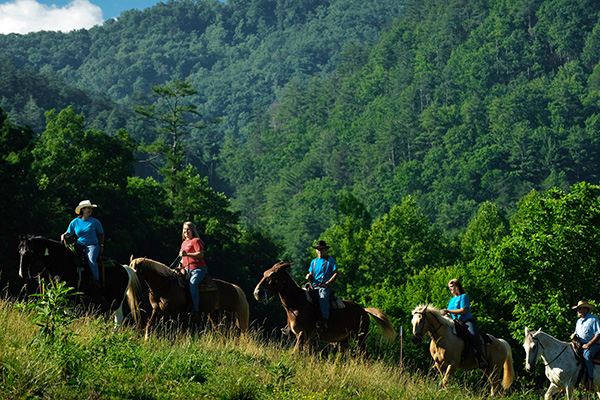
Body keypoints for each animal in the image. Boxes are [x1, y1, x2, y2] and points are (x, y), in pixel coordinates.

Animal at [253, 260, 398, 354]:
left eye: (273, 275)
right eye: (264, 273)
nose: (257, 292)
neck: (296, 304)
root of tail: (363, 310)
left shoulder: (302, 334)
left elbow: (295, 353)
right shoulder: (307, 337)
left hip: (361, 338)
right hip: (345, 341)